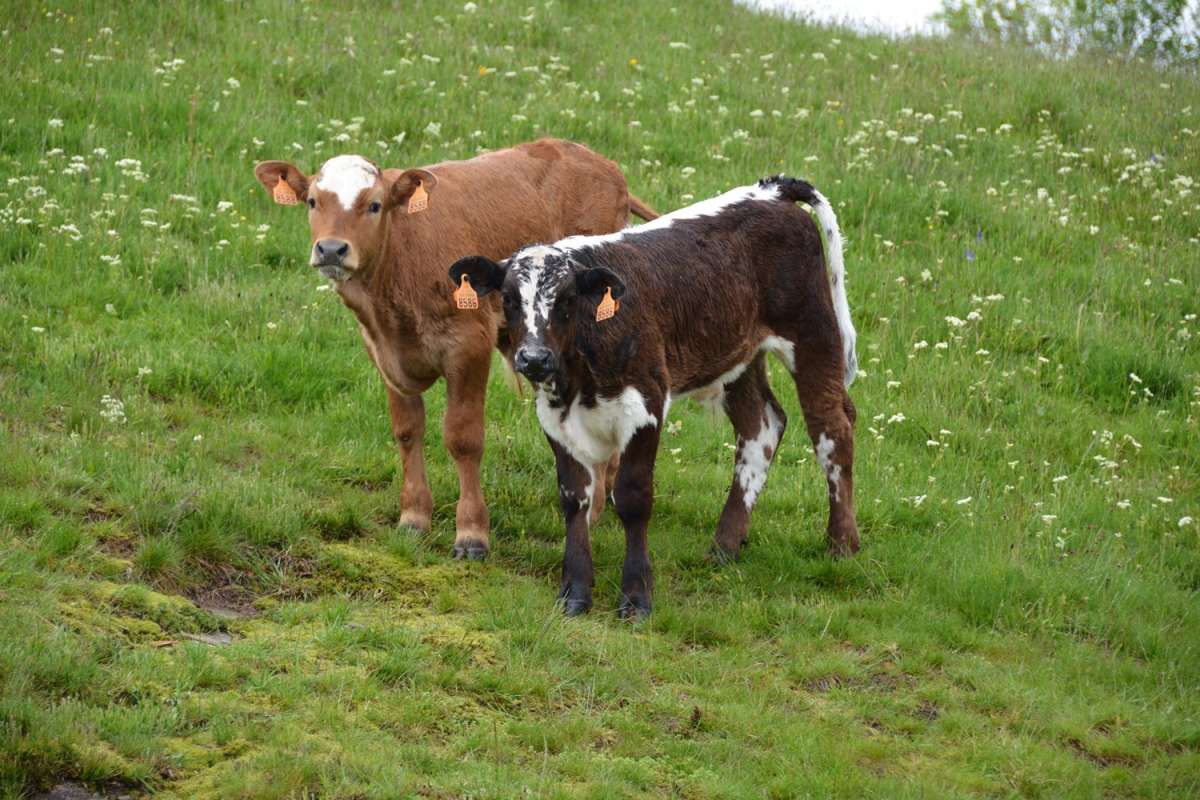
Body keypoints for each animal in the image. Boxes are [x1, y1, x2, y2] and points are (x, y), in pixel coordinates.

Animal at [254, 139, 662, 556]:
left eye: (374, 205)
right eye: (312, 201)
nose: (332, 249)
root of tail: (600, 163)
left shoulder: (468, 346)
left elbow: (463, 438)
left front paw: (471, 532)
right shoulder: (385, 354)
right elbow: (407, 430)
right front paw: (414, 515)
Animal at [448, 173, 854, 614]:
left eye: (567, 299)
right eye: (507, 299)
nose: (534, 358)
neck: (581, 378)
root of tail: (772, 190)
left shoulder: (644, 407)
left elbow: (632, 497)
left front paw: (637, 595)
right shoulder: (555, 416)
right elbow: (574, 497)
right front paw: (575, 591)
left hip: (812, 333)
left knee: (833, 429)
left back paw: (842, 544)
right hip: (737, 354)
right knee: (760, 425)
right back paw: (725, 545)